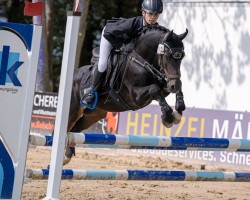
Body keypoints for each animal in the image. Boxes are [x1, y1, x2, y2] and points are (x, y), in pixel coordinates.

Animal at [62, 25, 188, 165]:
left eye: (182, 56)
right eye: (167, 55)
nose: (174, 85)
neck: (141, 61)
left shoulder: (164, 86)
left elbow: (175, 89)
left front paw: (177, 112)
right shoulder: (136, 96)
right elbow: (154, 89)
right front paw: (168, 117)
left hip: (93, 115)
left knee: (74, 130)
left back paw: (67, 155)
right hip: (73, 111)